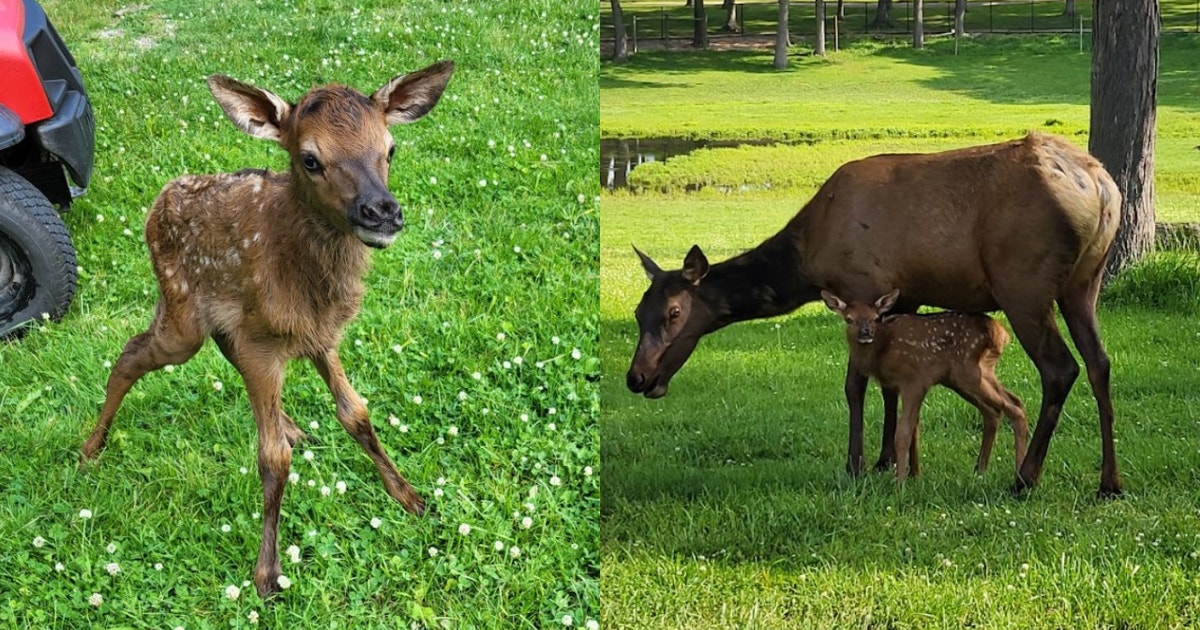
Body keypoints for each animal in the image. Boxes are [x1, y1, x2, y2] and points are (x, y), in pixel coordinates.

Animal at [78, 60, 455, 598]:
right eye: (310, 159)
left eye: (391, 148)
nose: (382, 211)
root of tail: (158, 201)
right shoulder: (265, 343)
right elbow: (272, 458)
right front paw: (267, 572)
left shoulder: (318, 336)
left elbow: (356, 414)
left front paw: (410, 497)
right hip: (180, 314)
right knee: (132, 352)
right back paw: (92, 446)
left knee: (219, 349)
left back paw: (291, 424)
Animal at [821, 289, 1028, 481]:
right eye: (849, 319)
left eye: (875, 318)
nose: (866, 333)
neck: (882, 352)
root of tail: (1002, 334)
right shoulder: (900, 385)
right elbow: (914, 428)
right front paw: (914, 475)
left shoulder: (914, 380)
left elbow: (903, 433)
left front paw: (900, 485)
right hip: (970, 376)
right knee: (1003, 406)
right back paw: (981, 470)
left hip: (969, 374)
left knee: (1012, 408)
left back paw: (1018, 475)